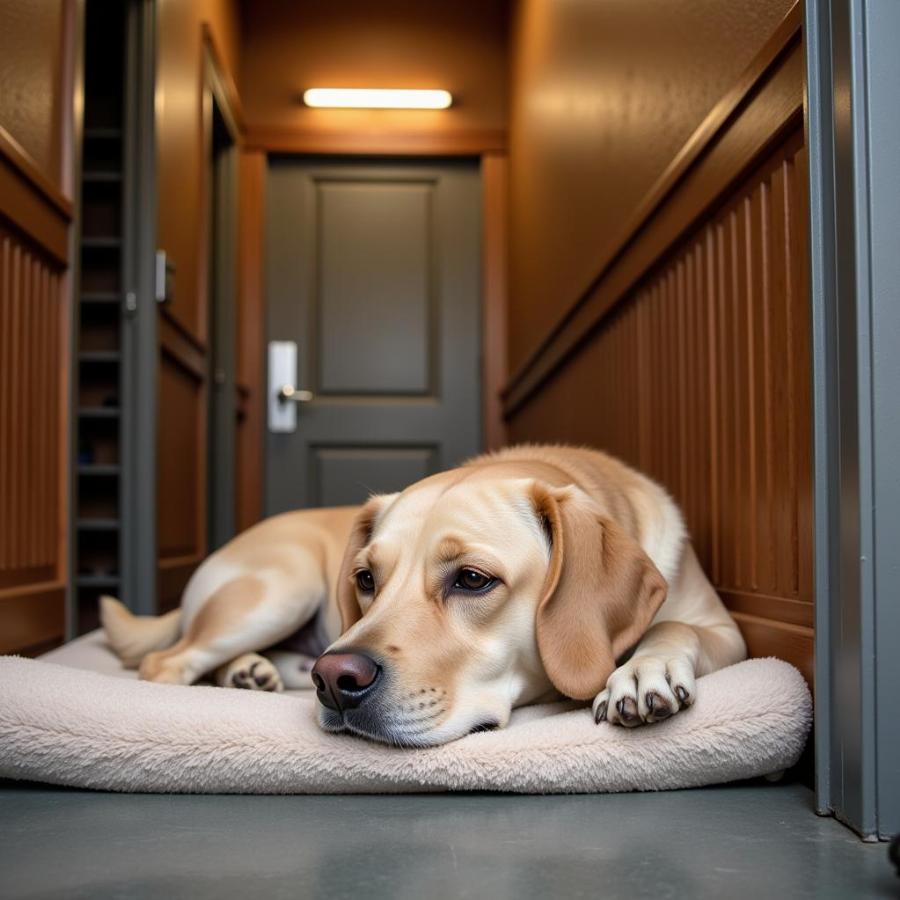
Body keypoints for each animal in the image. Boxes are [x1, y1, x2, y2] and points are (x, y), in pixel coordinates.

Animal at [102, 444, 744, 744]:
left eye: (472, 579)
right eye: (366, 579)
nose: (334, 679)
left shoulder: (726, 631)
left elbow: (673, 624)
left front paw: (641, 668)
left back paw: (251, 672)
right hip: (280, 588)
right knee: (166, 662)